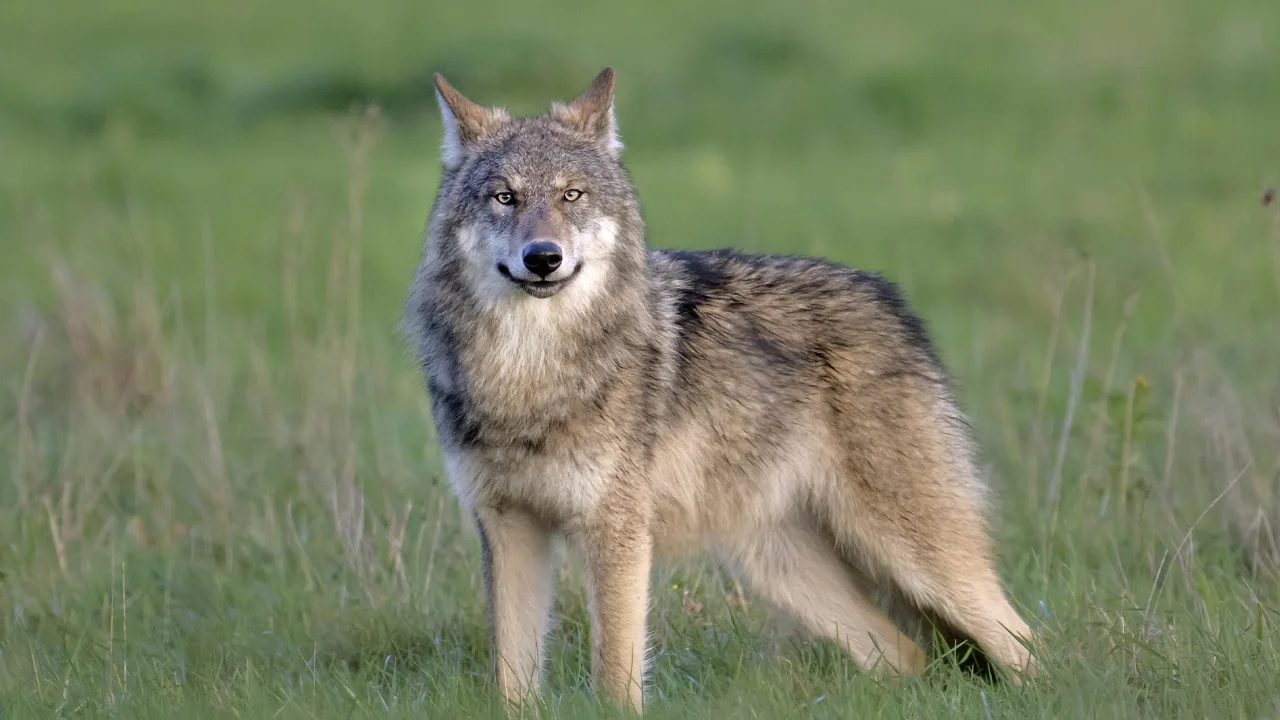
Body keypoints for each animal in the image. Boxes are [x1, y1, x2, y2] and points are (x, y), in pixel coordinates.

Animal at [402, 67, 1037, 712]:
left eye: (571, 196)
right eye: (504, 197)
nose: (543, 257)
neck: (528, 374)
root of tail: (892, 301)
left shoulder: (617, 532)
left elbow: (615, 677)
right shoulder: (509, 529)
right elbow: (512, 682)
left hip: (918, 558)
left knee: (1026, 645)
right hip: (781, 568)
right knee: (908, 657)